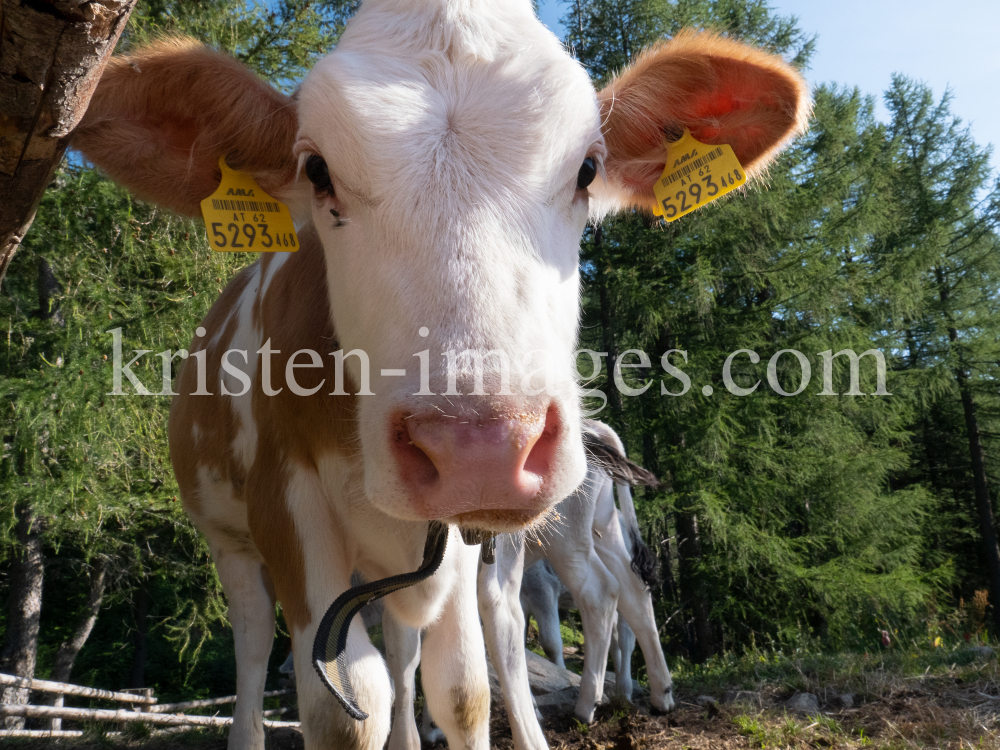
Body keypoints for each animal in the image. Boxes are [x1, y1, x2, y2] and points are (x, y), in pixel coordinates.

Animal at [70, 2, 808, 748]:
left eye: (587, 169)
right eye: (317, 169)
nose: (480, 448)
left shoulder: (455, 545)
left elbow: (460, 688)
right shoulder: (287, 508)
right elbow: (344, 705)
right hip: (232, 541)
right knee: (253, 650)